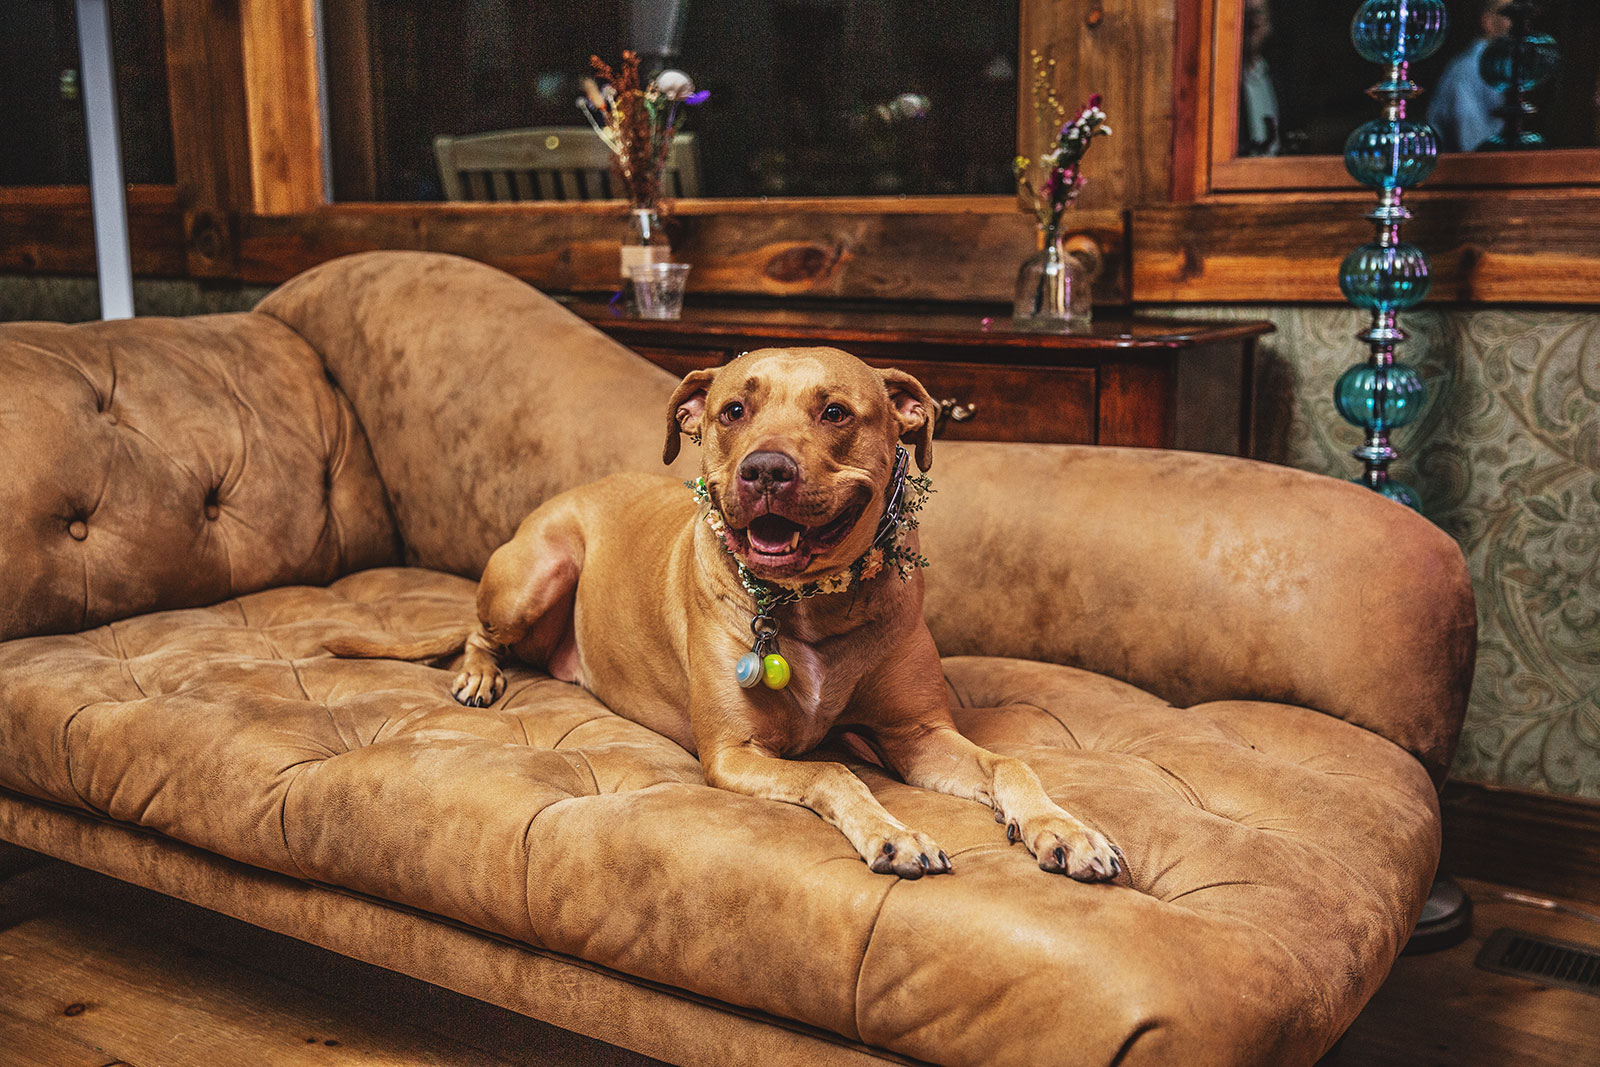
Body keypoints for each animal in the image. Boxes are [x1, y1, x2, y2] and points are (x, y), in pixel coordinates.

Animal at [331, 347, 1120, 883]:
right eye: (732, 411)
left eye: (835, 412)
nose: (765, 468)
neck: (811, 602)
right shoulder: (735, 754)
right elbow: (836, 775)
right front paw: (897, 834)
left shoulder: (920, 735)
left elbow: (1011, 762)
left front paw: (1066, 830)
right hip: (536, 571)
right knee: (478, 630)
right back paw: (478, 676)